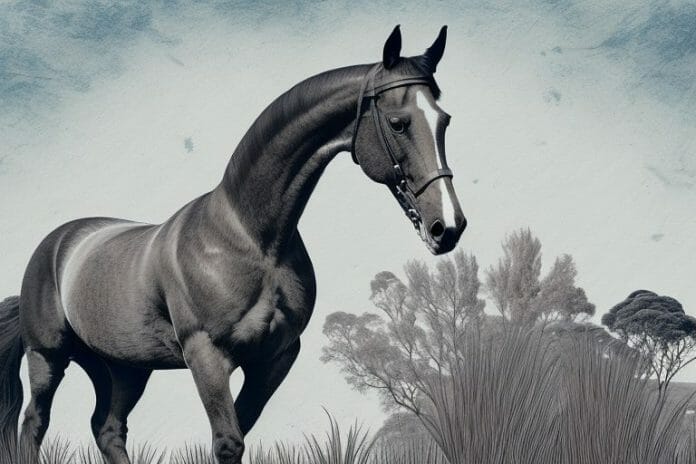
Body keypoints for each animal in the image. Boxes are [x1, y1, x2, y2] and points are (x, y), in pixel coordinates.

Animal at [0, 25, 466, 464]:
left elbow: (239, 431)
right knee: (35, 424)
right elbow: (228, 442)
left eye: (444, 120)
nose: (448, 227)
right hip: (48, 357)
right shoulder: (207, 356)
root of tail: (57, 243)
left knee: (108, 429)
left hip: (123, 368)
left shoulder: (275, 358)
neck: (248, 240)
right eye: (398, 122)